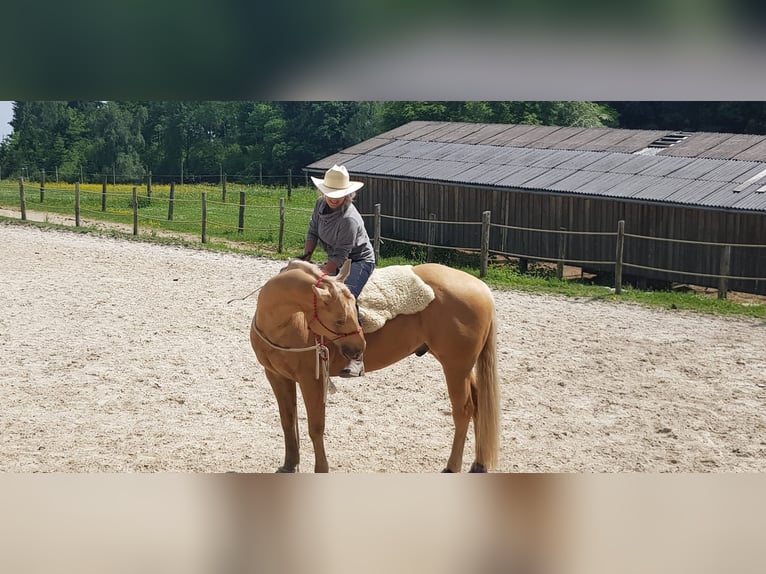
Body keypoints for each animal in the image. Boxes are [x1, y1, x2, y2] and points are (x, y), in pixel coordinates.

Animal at [250, 260, 504, 472]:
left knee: (464, 410)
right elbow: (287, 421)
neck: (286, 323)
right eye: (339, 320)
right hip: (464, 368)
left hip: (455, 367)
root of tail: (481, 287)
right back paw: (478, 464)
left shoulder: (312, 381)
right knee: (479, 403)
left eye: (354, 312)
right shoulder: (276, 376)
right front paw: (290, 464)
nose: (359, 348)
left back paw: (452, 467)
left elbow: (315, 427)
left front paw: (321, 468)